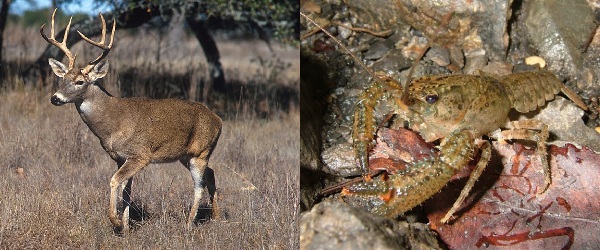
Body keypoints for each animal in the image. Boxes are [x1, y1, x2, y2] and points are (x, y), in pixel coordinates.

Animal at [40, 8, 223, 233]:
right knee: (211, 174)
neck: (113, 123)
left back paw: (189, 224)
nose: (55, 98)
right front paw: (126, 226)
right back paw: (216, 217)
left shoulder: (140, 155)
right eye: (63, 79)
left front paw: (116, 221)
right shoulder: (120, 157)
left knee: (199, 185)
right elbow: (126, 191)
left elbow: (114, 181)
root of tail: (219, 120)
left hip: (201, 152)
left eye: (80, 81)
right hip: (186, 155)